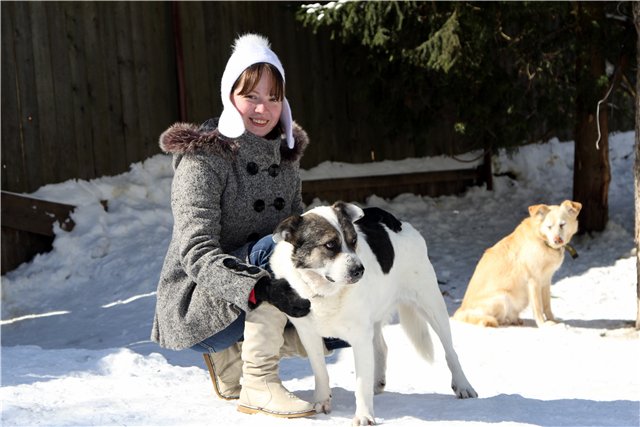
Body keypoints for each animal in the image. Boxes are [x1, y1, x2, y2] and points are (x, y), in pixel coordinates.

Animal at [269, 202, 477, 425]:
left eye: (353, 241)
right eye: (330, 245)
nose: (359, 270)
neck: (328, 292)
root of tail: (403, 225)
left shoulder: (359, 336)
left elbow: (361, 384)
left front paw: (364, 415)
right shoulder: (309, 335)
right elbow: (321, 372)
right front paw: (321, 402)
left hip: (431, 303)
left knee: (450, 350)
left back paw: (463, 385)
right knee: (381, 347)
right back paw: (377, 383)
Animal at [453, 200, 582, 328]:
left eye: (562, 225)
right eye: (549, 226)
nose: (557, 240)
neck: (542, 240)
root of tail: (459, 312)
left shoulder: (546, 280)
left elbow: (547, 306)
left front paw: (553, 321)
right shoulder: (534, 281)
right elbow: (538, 307)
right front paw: (543, 325)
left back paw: (515, 320)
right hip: (502, 297)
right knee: (494, 320)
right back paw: (504, 321)